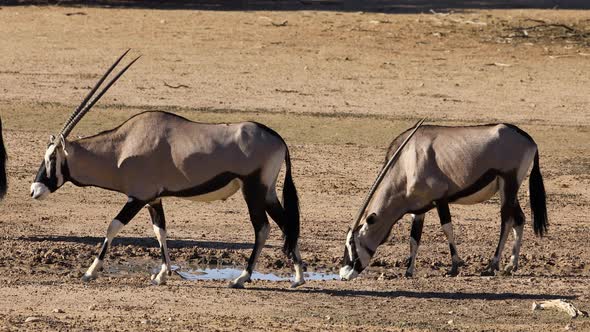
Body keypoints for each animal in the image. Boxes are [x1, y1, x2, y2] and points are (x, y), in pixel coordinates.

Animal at [30, 50, 306, 290]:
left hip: (253, 189)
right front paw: (162, 275)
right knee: (286, 224)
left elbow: (113, 226)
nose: (34, 190)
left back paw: (242, 277)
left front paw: (90, 272)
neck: (122, 148)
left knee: (262, 228)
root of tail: (278, 139)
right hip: (267, 192)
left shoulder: (137, 197)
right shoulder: (154, 199)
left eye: (51, 157)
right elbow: (160, 231)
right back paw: (298, 277)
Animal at [342, 119, 552, 280]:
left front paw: (454, 266)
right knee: (519, 219)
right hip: (508, 190)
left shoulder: (440, 199)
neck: (406, 162)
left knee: (506, 220)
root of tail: (529, 140)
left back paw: (492, 265)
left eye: (352, 244)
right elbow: (414, 238)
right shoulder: (419, 209)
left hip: (508, 184)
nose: (344, 273)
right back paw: (511, 265)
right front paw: (408, 271)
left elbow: (447, 228)